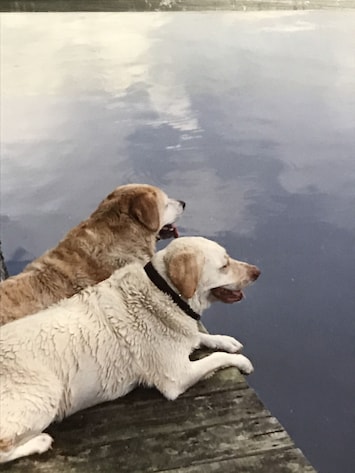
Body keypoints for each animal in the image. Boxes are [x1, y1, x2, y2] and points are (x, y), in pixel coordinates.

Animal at [0, 235, 262, 460]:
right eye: (224, 265)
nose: (257, 272)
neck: (165, 291)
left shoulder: (181, 336)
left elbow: (199, 336)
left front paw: (225, 340)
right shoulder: (176, 377)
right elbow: (216, 358)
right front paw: (242, 362)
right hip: (45, 395)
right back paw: (39, 442)